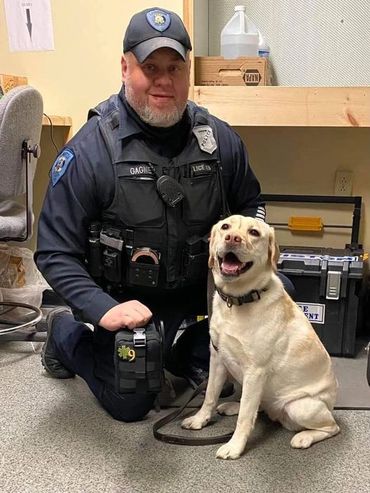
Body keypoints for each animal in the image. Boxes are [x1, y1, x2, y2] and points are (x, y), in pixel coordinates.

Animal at [181, 214, 340, 458]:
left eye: (254, 232)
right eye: (225, 227)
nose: (232, 238)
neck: (237, 301)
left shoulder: (255, 371)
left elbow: (246, 418)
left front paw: (234, 447)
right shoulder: (217, 358)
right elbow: (210, 396)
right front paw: (200, 420)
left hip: (300, 406)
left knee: (331, 427)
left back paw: (304, 437)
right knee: (256, 406)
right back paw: (232, 406)